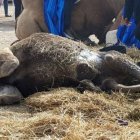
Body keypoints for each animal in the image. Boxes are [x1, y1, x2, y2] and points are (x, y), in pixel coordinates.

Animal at [0, 33, 140, 105]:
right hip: (109, 77)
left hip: (113, 58)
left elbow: (12, 63)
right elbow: (13, 95)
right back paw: (87, 80)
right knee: (109, 85)